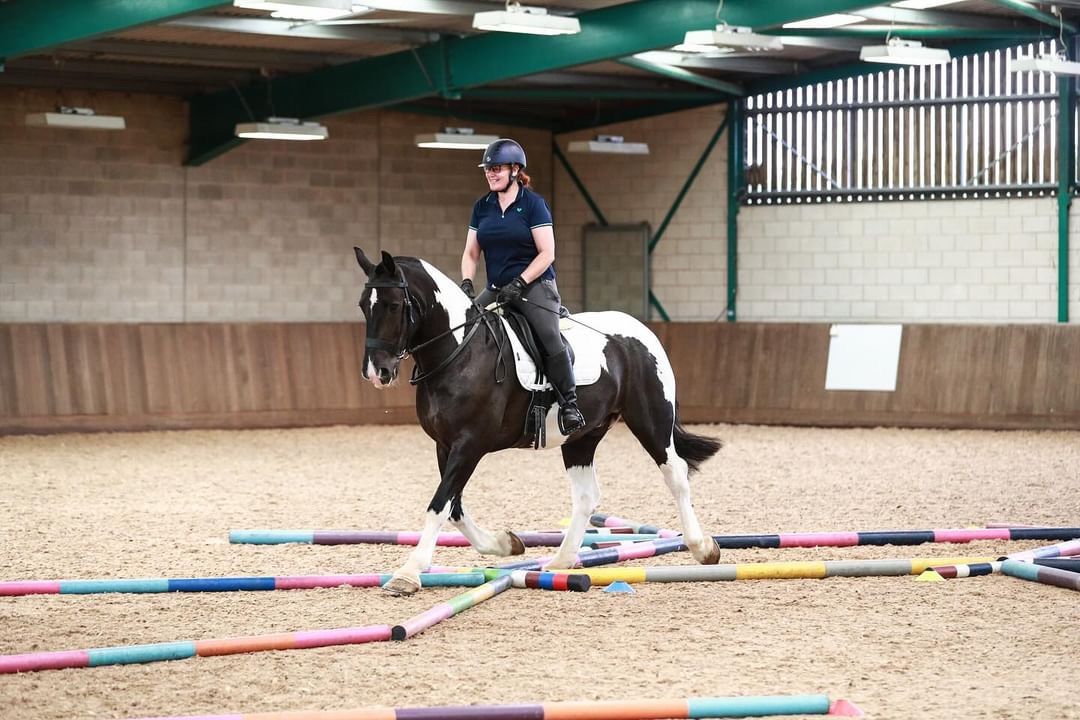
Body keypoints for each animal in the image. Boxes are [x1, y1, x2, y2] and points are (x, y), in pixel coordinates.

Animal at [356, 249, 725, 595]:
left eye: (392, 305)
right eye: (363, 306)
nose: (376, 372)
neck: (460, 352)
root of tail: (641, 330)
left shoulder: (470, 444)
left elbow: (439, 505)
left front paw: (408, 574)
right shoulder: (445, 445)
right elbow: (453, 506)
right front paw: (505, 543)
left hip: (651, 420)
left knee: (675, 474)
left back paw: (703, 548)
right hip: (582, 436)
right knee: (586, 495)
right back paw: (560, 561)